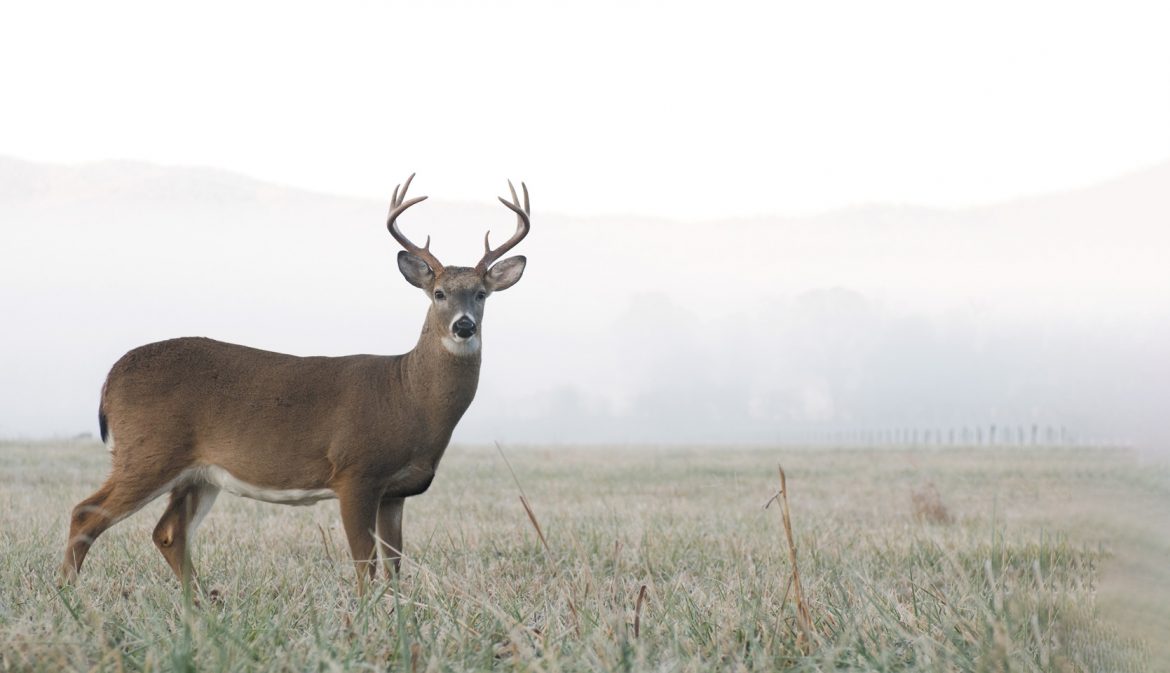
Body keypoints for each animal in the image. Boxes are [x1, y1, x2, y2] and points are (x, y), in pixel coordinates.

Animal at [61, 175, 531, 592]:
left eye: (481, 294)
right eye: (438, 293)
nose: (464, 326)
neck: (409, 395)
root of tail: (110, 378)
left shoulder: (396, 491)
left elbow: (395, 565)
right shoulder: (355, 472)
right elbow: (365, 565)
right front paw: (366, 617)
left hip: (198, 473)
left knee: (168, 533)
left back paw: (200, 606)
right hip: (148, 451)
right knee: (85, 513)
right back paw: (68, 594)